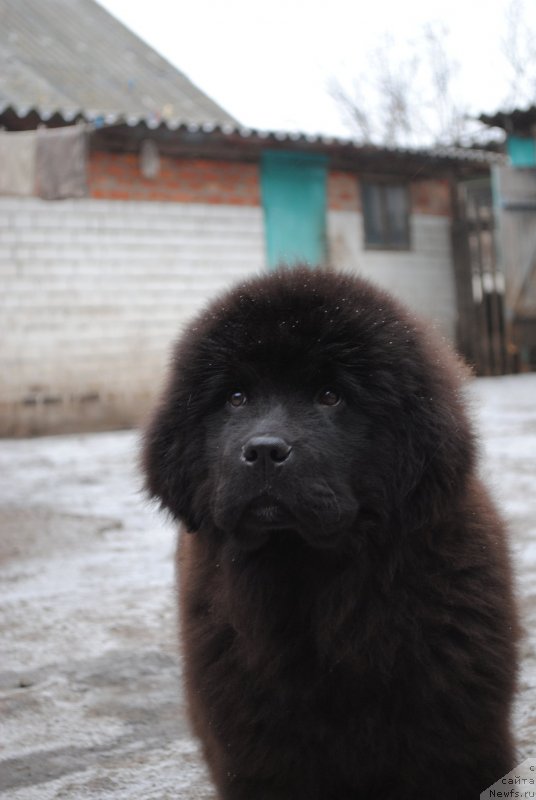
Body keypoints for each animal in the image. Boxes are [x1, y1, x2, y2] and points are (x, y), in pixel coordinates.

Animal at [142, 268, 520, 800]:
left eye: (330, 396)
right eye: (235, 398)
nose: (263, 450)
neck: (312, 582)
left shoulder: (454, 742)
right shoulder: (257, 756)